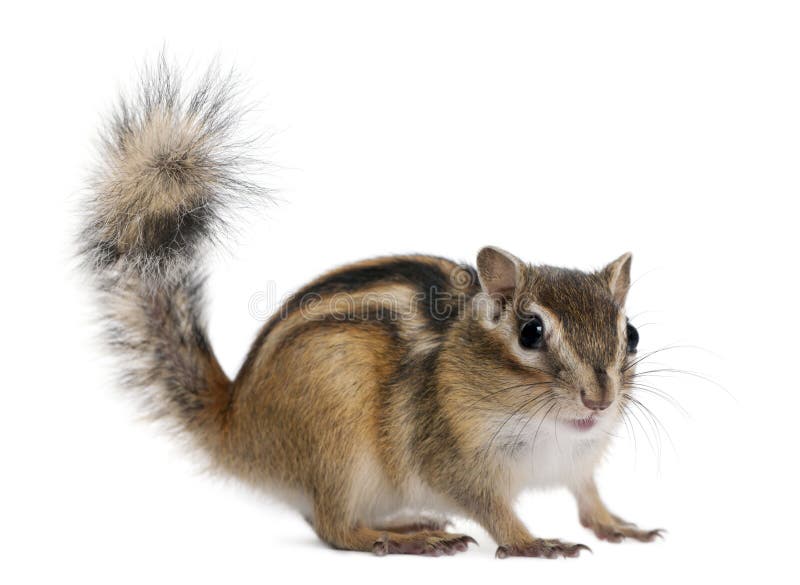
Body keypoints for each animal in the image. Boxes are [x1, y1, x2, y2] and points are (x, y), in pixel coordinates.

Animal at [79, 60, 663, 558]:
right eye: (530, 333)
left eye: (631, 334)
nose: (599, 399)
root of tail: (235, 426)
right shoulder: (451, 459)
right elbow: (492, 509)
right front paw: (532, 543)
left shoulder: (580, 462)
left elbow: (588, 496)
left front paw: (619, 525)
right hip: (338, 434)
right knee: (333, 526)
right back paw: (406, 538)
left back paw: (408, 521)